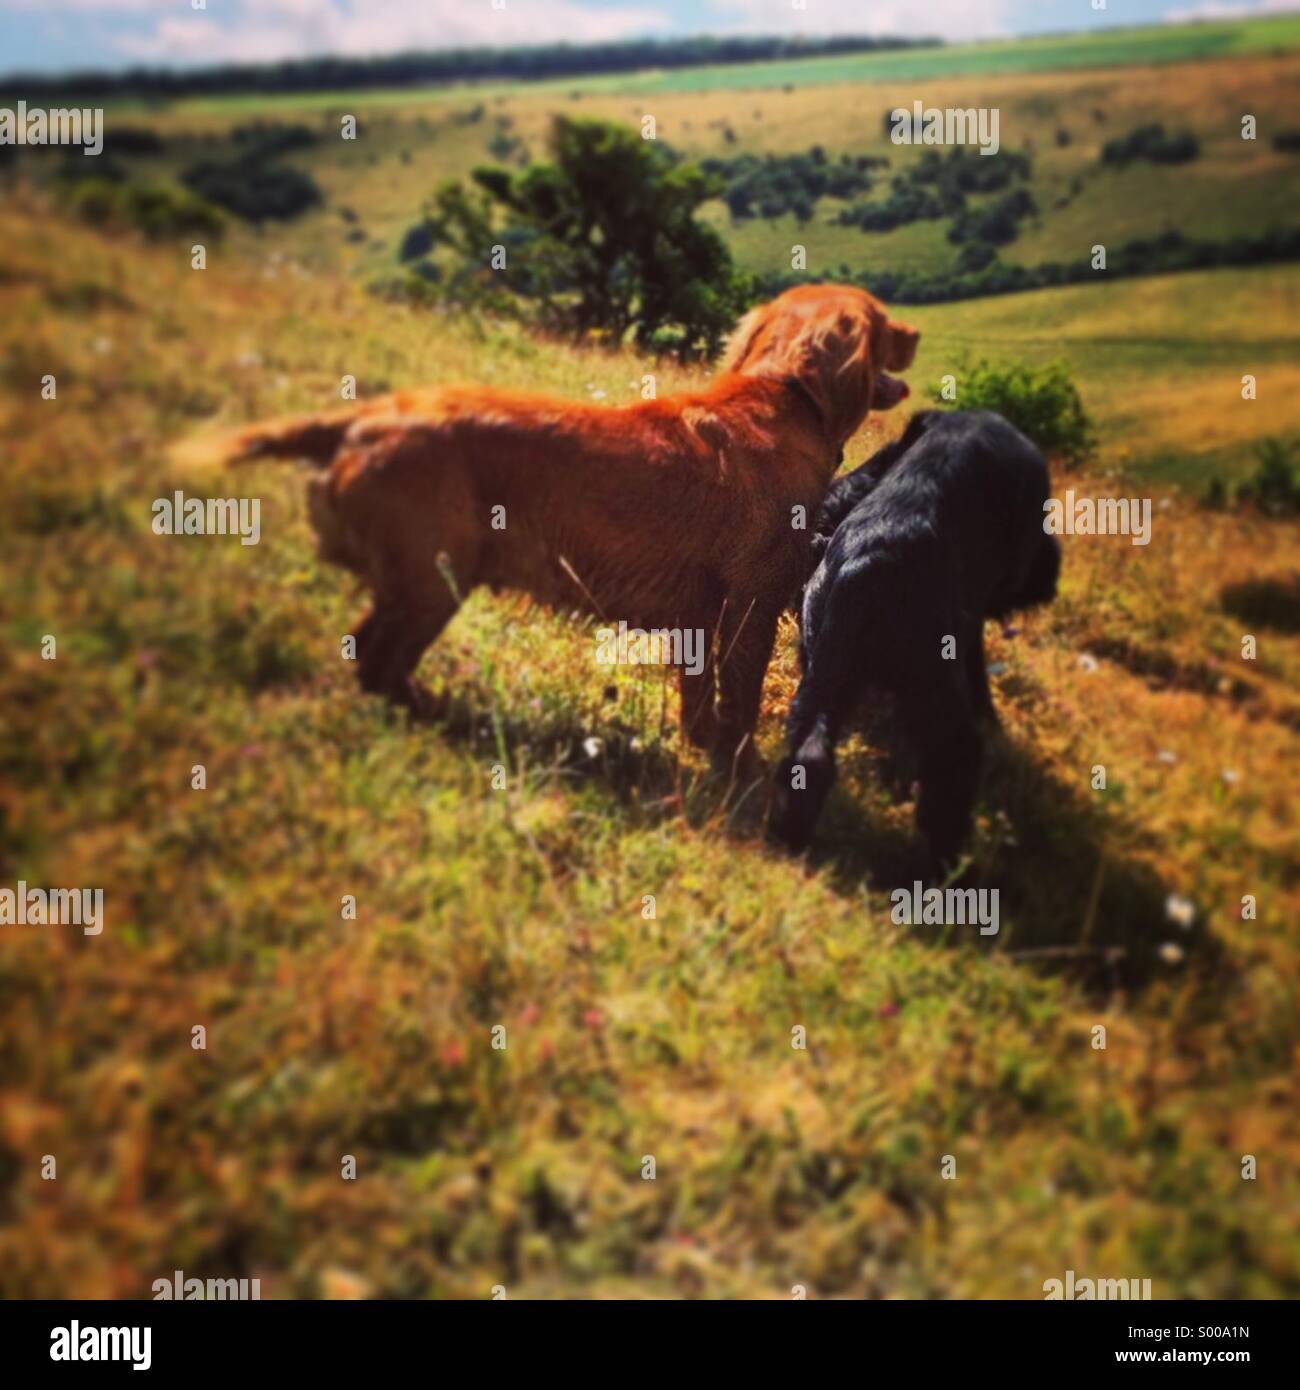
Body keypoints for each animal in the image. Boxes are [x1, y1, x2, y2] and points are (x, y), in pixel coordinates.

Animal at [773, 408, 1056, 867]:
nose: (1050, 570)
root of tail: (872, 565)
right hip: (937, 701)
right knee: (950, 776)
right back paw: (946, 866)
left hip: (825, 678)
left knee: (808, 756)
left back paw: (790, 837)